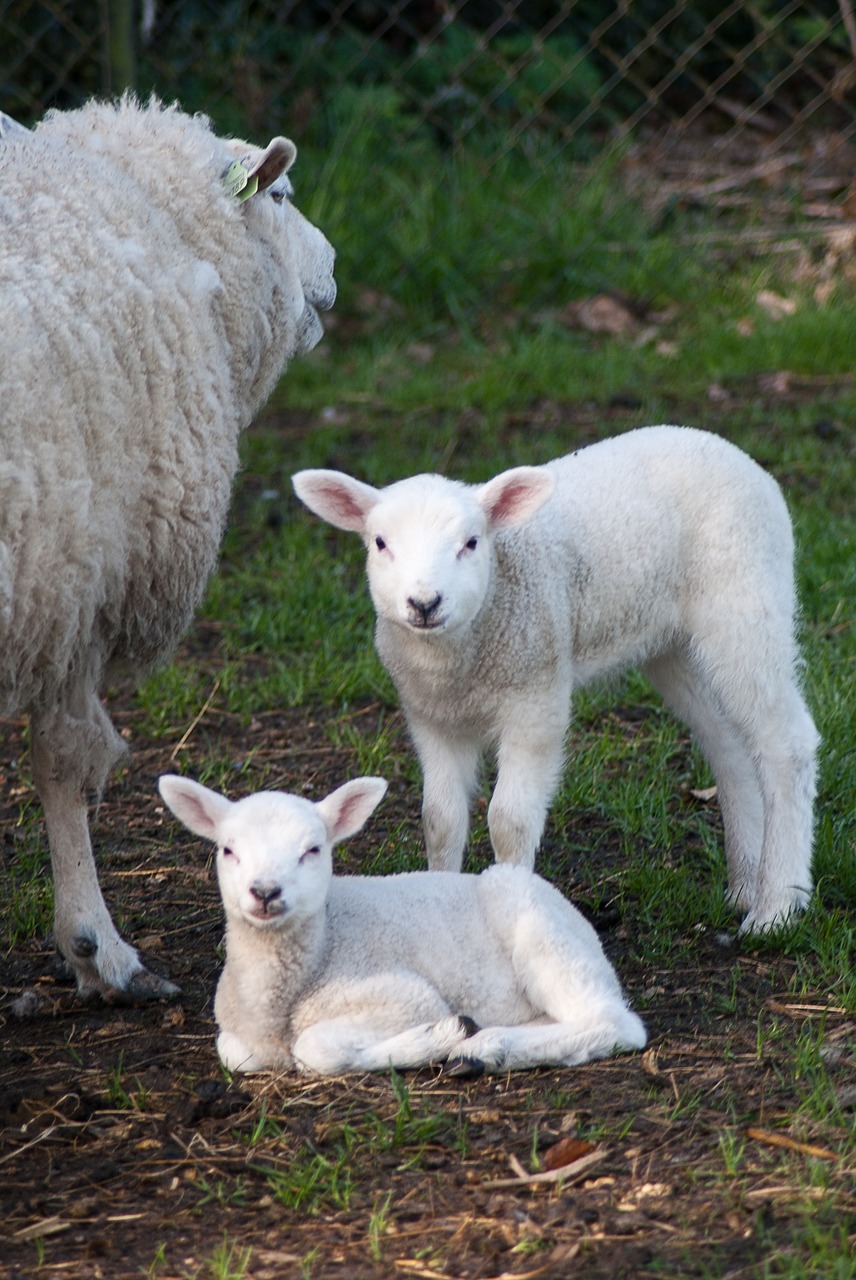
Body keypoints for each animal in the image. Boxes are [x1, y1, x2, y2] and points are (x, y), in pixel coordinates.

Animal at [158, 773, 639, 1075]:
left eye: (313, 850)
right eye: (228, 850)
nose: (264, 891)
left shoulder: (406, 996)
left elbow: (314, 1048)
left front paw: (436, 1038)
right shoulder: (238, 1032)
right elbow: (233, 1053)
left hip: (542, 932)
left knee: (615, 1023)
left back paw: (483, 1048)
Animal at [295, 424, 818, 936]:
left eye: (471, 543)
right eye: (380, 543)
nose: (425, 603)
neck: (460, 660)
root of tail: (735, 453)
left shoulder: (536, 700)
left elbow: (508, 821)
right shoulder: (431, 718)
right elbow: (440, 820)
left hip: (745, 600)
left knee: (785, 743)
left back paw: (776, 907)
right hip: (675, 646)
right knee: (729, 747)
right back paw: (745, 884)